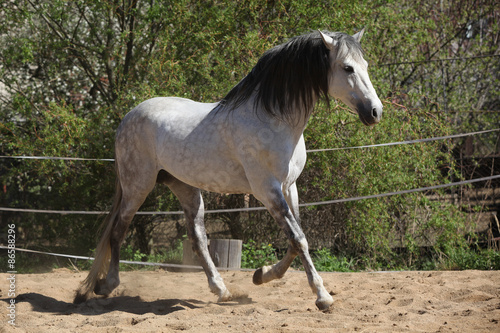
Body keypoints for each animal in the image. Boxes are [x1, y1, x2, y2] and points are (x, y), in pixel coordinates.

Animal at [73, 29, 382, 310]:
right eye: (347, 67)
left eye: (366, 65)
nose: (375, 112)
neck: (275, 119)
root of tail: (127, 118)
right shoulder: (267, 190)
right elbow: (299, 239)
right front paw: (322, 296)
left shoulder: (289, 187)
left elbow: (295, 241)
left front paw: (262, 274)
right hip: (137, 186)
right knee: (118, 231)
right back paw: (105, 285)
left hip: (185, 188)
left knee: (198, 238)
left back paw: (221, 290)